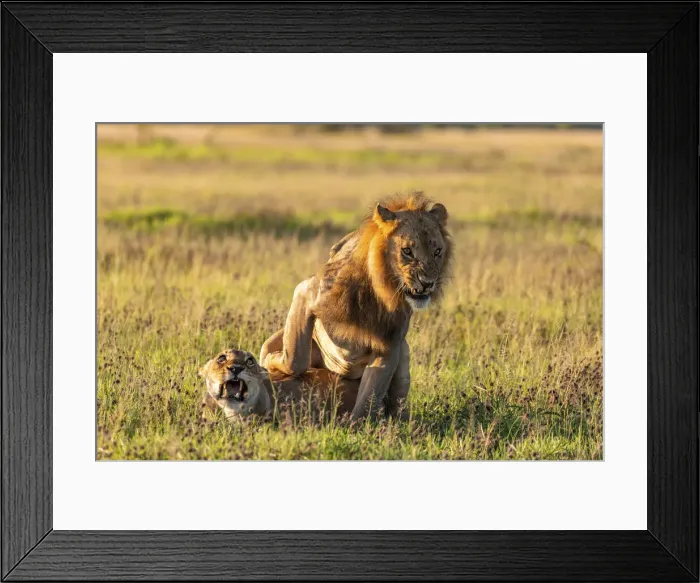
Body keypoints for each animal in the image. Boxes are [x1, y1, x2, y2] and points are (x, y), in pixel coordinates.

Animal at [260, 192, 452, 420]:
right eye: (407, 251)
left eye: (437, 251)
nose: (427, 283)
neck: (376, 291)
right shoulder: (306, 290)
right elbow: (295, 359)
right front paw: (273, 360)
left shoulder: (390, 344)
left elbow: (370, 397)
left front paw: (358, 425)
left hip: (403, 352)